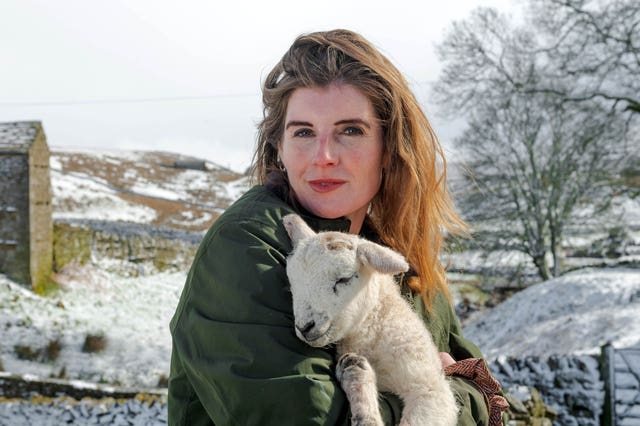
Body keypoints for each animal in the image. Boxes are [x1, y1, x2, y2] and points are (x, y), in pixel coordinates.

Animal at [282, 213, 458, 426]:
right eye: (292, 281)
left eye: (344, 279)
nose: (305, 327)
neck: (372, 331)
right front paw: (357, 376)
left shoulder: (429, 387)